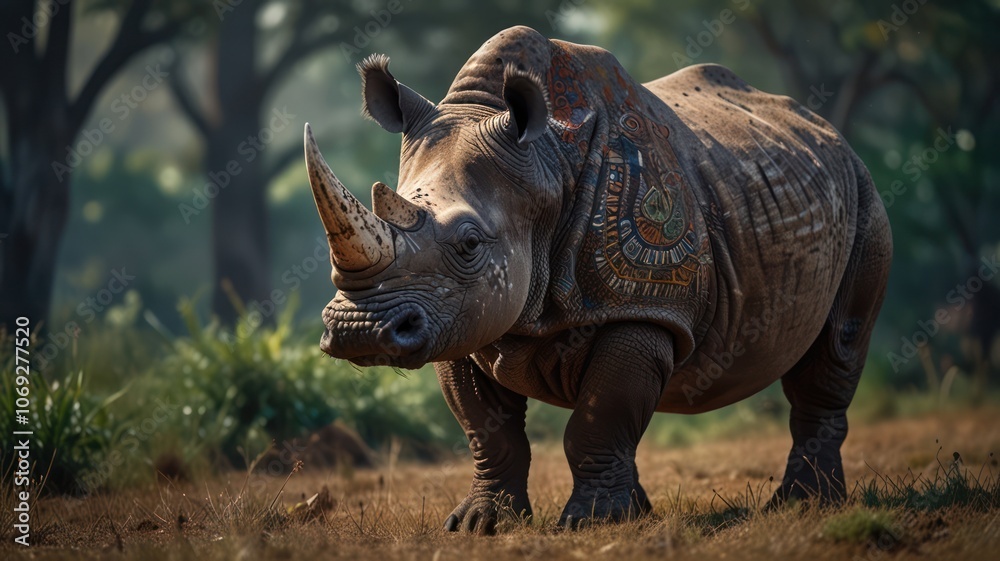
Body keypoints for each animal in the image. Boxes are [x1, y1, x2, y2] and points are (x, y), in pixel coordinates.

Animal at [304, 26, 892, 532]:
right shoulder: (460, 317)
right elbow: (488, 431)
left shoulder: (643, 310)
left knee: (837, 345)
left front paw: (592, 523)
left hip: (864, 198)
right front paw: (481, 526)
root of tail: (830, 132)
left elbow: (597, 418)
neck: (547, 163)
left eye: (469, 244)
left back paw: (804, 505)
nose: (359, 330)